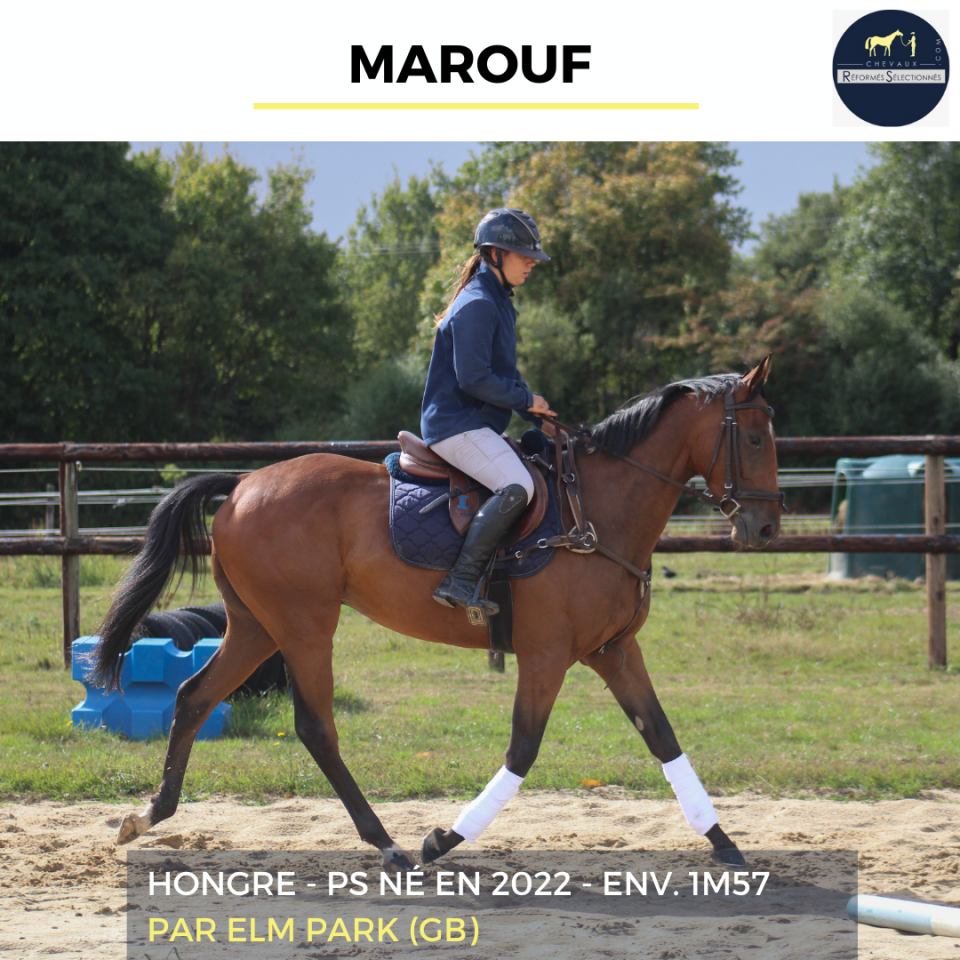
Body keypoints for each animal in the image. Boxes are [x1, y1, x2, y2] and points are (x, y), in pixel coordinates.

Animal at [90, 358, 781, 871]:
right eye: (753, 438)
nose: (767, 527)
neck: (596, 512)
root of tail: (242, 485)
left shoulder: (614, 651)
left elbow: (662, 737)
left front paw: (725, 844)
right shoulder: (547, 655)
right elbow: (523, 750)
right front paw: (442, 839)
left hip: (256, 627)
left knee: (193, 697)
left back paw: (149, 815)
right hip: (304, 627)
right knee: (315, 727)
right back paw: (387, 843)